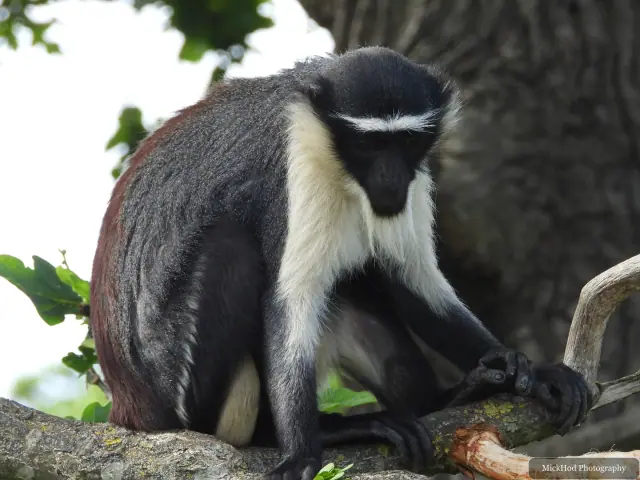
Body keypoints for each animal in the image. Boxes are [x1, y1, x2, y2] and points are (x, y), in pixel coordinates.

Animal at [90, 46, 592, 480]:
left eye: (406, 142)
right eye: (369, 146)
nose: (390, 180)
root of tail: (131, 408)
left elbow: (407, 278)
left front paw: (526, 370)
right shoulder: (294, 170)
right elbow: (290, 303)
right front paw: (300, 454)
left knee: (355, 283)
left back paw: (448, 396)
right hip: (188, 391)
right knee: (230, 245)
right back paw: (299, 432)